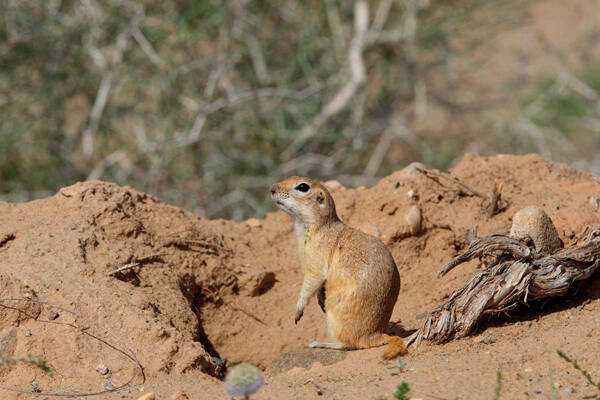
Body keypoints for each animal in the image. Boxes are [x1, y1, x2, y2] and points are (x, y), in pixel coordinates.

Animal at [272, 176, 408, 360]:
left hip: (335, 318)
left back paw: (320, 343)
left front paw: (298, 311)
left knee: (349, 345)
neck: (319, 226)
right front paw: (319, 299)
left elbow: (311, 283)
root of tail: (377, 335)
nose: (272, 189)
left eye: (303, 187)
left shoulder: (315, 261)